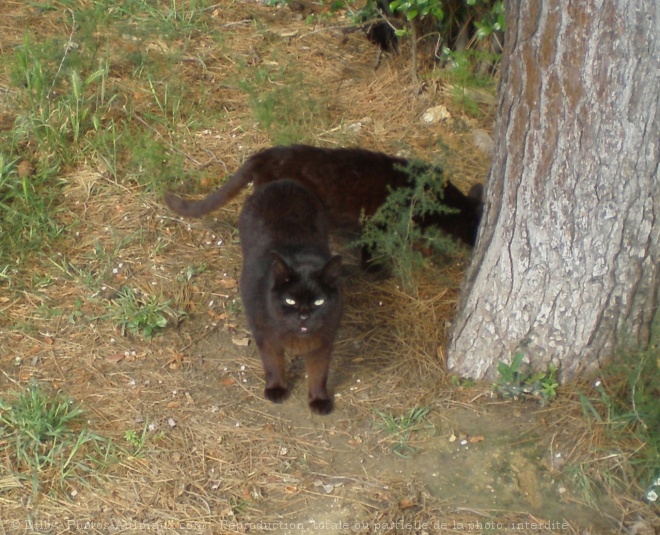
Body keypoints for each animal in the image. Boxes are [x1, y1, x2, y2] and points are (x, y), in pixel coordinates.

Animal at [237, 179, 342, 414]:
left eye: (319, 301)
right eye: (290, 300)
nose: (303, 316)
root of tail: (282, 182)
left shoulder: (323, 342)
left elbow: (319, 374)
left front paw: (318, 401)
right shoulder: (265, 335)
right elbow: (273, 363)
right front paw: (276, 389)